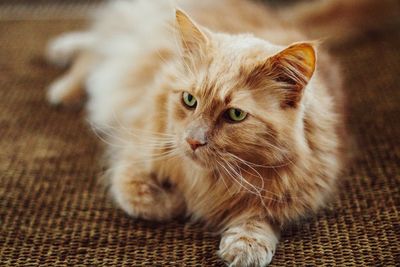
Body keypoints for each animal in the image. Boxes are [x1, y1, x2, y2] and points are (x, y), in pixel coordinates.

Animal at [44, 0, 384, 266]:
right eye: (189, 100)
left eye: (235, 115)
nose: (193, 141)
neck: (212, 180)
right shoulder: (135, 149)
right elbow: (142, 199)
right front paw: (177, 201)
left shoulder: (301, 186)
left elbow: (262, 215)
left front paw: (247, 244)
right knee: (93, 50)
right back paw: (63, 78)